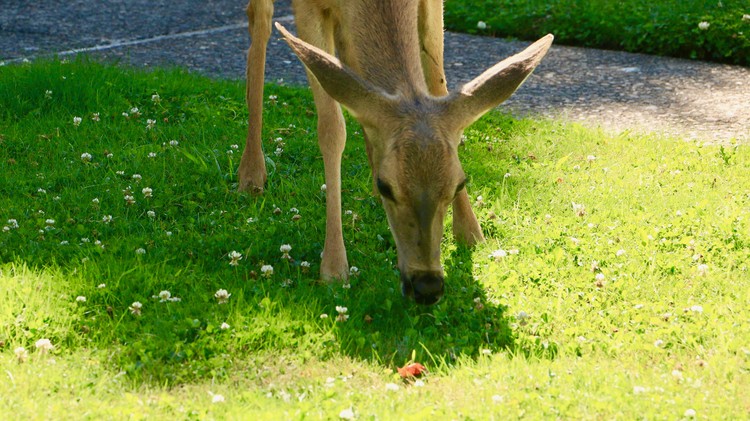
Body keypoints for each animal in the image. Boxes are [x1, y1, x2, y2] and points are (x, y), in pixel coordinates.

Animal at [238, 0, 556, 304]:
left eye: (459, 184)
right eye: (387, 186)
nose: (427, 286)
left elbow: (438, 83)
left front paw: (471, 232)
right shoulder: (307, 9)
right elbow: (332, 128)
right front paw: (333, 267)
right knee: (260, 21)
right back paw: (251, 173)